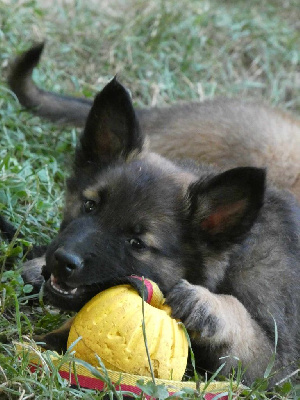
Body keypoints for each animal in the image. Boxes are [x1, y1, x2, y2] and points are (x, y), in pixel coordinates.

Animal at [4, 45, 300, 386]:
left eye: (137, 244)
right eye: (90, 206)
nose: (63, 260)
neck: (234, 257)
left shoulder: (277, 366)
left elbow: (244, 325)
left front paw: (207, 305)